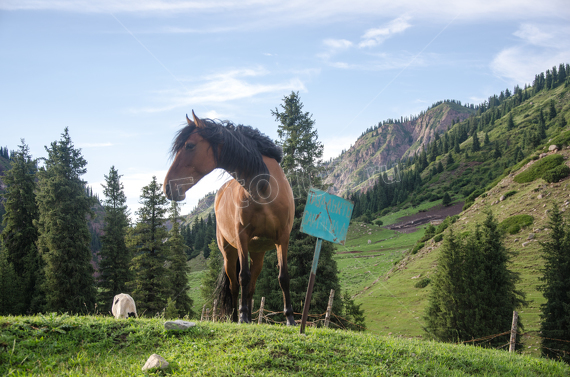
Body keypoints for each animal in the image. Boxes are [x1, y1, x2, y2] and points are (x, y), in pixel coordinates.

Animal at [163, 111, 292, 324]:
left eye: (190, 145)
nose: (167, 187)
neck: (264, 189)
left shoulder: (282, 238)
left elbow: (283, 277)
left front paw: (290, 318)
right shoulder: (242, 238)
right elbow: (242, 277)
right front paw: (243, 316)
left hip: (258, 254)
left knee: (251, 285)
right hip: (229, 253)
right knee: (234, 284)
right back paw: (235, 317)